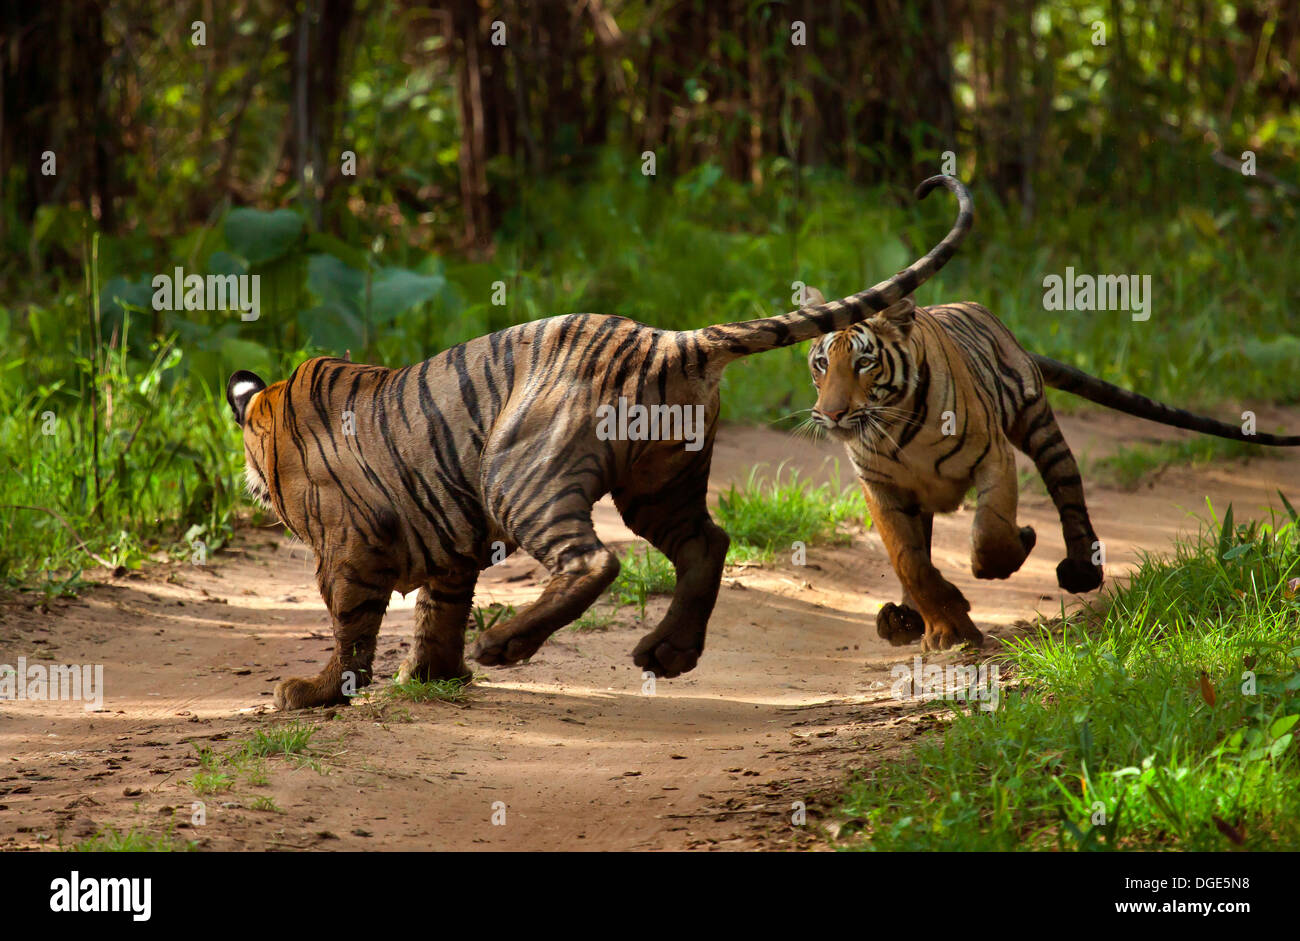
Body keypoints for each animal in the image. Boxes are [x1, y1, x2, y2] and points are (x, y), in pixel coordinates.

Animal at [226, 175, 974, 710]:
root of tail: (669, 338)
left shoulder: (346, 550)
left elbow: (353, 627)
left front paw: (316, 691)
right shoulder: (448, 541)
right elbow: (440, 608)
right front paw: (432, 675)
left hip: (518, 474)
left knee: (594, 560)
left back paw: (506, 645)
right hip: (660, 485)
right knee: (707, 543)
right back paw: (667, 654)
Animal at [806, 296, 1300, 652]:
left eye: (865, 363)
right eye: (821, 364)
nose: (831, 414)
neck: (895, 429)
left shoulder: (993, 456)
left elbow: (991, 534)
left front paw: (1016, 546)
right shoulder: (881, 488)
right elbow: (911, 561)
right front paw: (947, 628)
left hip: (1039, 426)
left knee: (1069, 492)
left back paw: (1081, 570)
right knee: (922, 549)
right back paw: (904, 619)